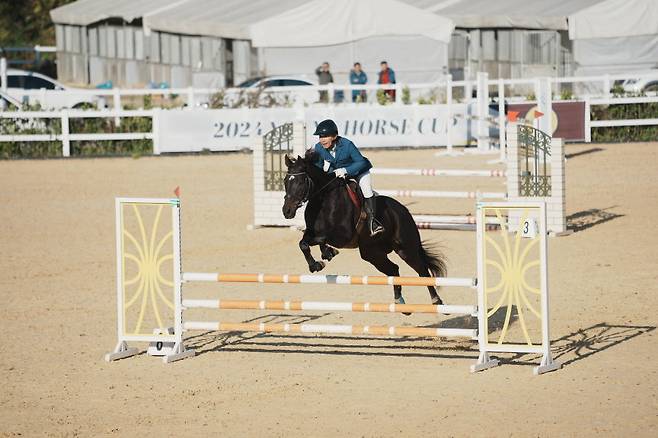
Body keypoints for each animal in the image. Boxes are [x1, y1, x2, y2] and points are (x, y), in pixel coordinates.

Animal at [282, 152, 446, 306]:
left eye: (301, 182)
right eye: (285, 181)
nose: (287, 211)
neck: (323, 201)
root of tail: (404, 210)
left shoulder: (343, 236)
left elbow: (321, 238)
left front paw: (327, 254)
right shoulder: (312, 232)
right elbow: (304, 243)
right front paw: (318, 262)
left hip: (405, 249)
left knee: (422, 271)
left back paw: (436, 301)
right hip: (372, 252)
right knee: (394, 269)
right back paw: (399, 301)